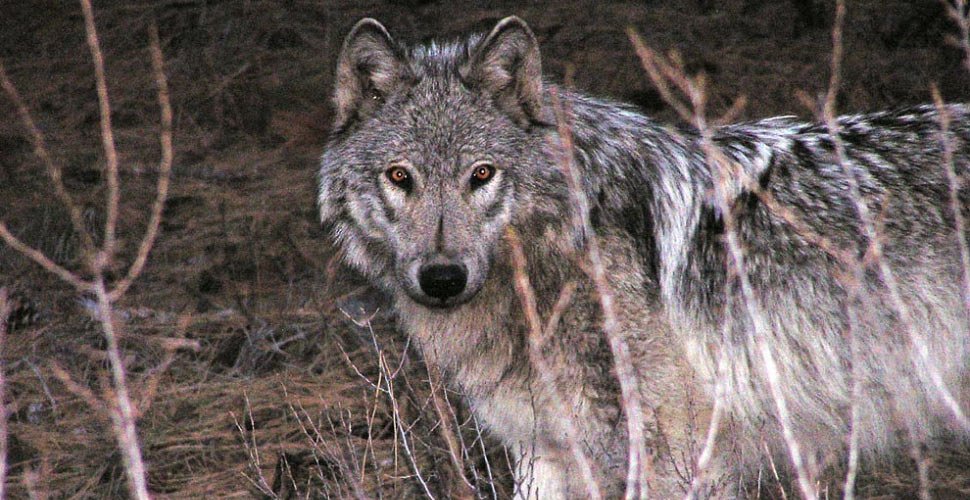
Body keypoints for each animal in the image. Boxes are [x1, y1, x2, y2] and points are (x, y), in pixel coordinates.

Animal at [318, 15, 970, 498]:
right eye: (399, 177)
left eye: (482, 174)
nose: (442, 278)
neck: (565, 249)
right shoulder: (543, 452)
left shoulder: (668, 457)